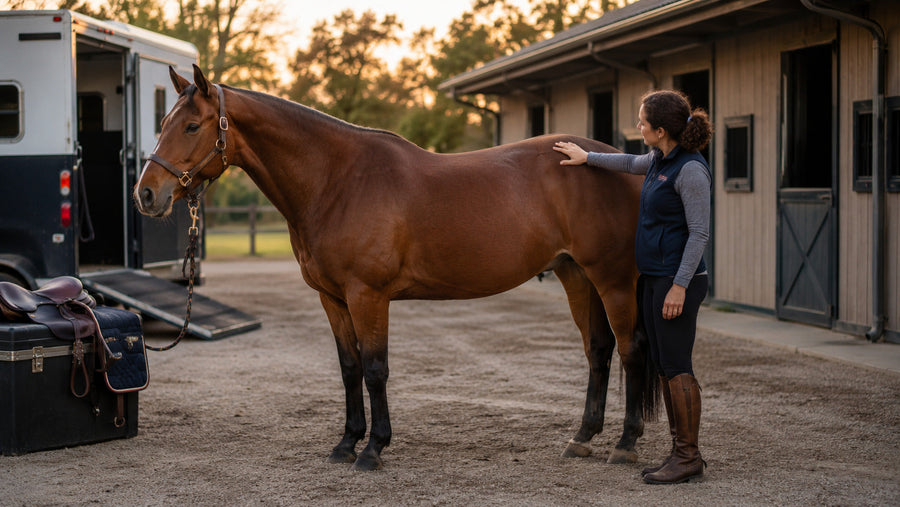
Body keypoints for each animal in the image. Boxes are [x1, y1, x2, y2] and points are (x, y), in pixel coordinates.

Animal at [134, 64, 658, 471]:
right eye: (165, 121)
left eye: (192, 126)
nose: (146, 194)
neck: (337, 180)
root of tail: (622, 160)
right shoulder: (332, 297)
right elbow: (349, 368)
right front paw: (346, 443)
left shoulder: (368, 295)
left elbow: (375, 368)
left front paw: (373, 449)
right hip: (576, 274)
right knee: (598, 350)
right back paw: (582, 438)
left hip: (612, 279)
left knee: (631, 349)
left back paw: (625, 444)